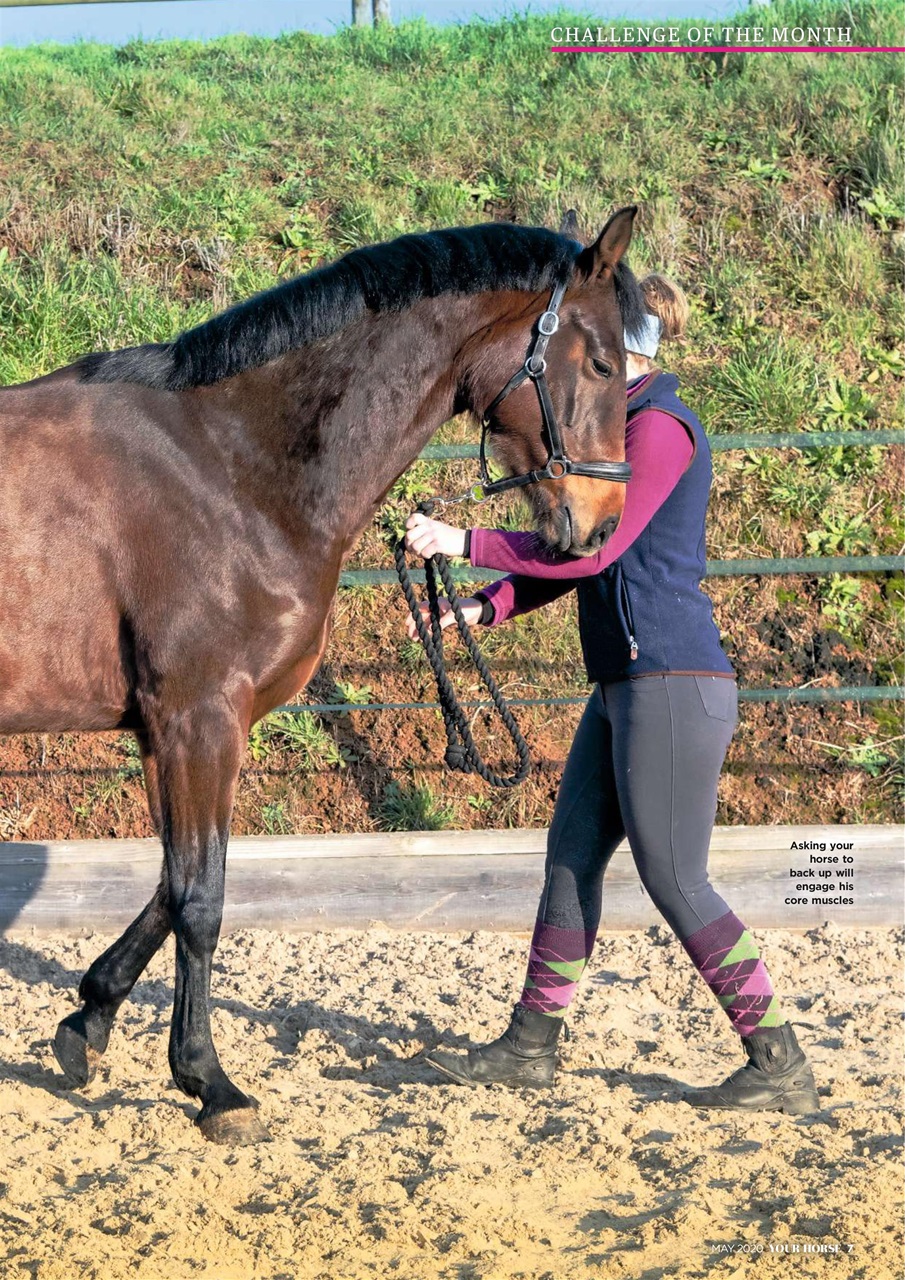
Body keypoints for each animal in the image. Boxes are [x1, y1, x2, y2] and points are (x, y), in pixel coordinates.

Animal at [0, 208, 642, 1144]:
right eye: (599, 363)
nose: (597, 527)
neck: (229, 466)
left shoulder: (173, 732)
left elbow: (170, 884)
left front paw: (88, 1021)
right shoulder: (200, 718)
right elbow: (199, 900)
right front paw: (210, 1083)